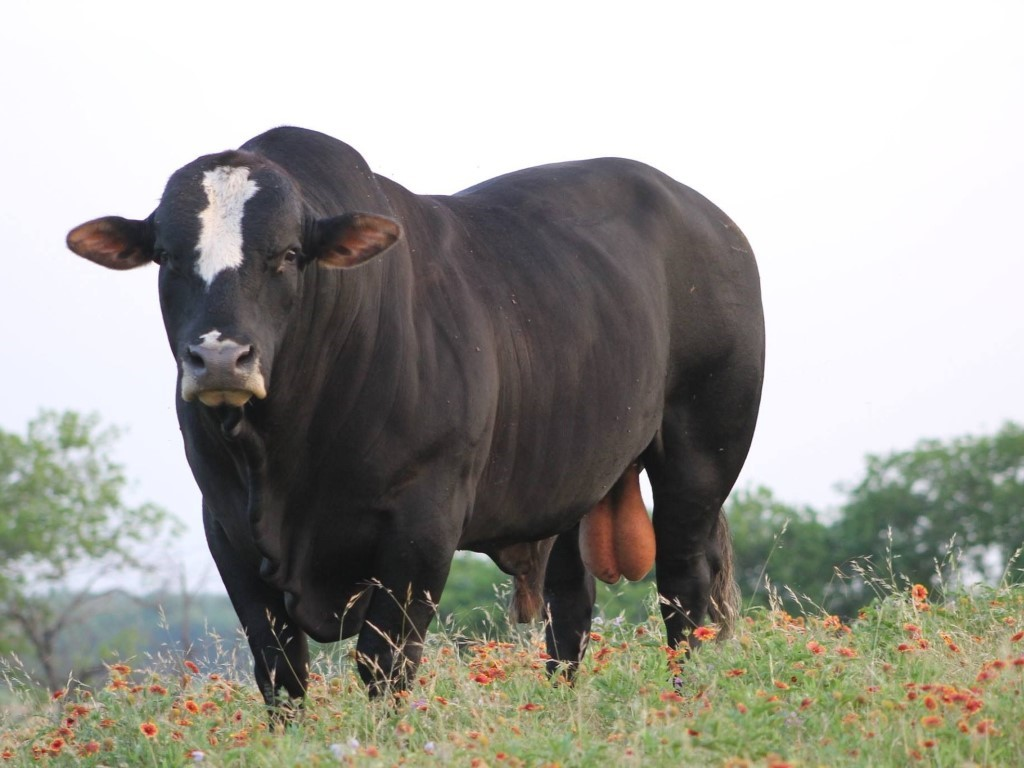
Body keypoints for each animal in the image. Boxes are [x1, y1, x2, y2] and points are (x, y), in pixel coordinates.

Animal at [67, 126, 764, 712]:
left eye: (288, 254)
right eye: (166, 256)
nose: (218, 358)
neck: (282, 456)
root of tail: (714, 221)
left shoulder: (422, 524)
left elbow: (385, 663)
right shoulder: (227, 527)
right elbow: (280, 671)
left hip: (701, 457)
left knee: (683, 593)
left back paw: (682, 703)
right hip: (573, 480)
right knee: (571, 606)